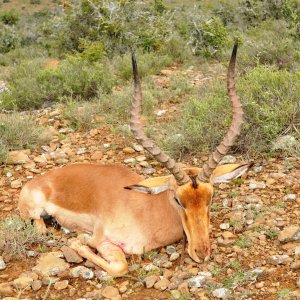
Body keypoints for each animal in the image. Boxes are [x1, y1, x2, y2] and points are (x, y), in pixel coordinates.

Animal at [17, 42, 250, 276]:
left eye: (211, 197)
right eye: (177, 199)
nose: (201, 252)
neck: (146, 210)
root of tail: (36, 181)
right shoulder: (102, 239)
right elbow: (119, 265)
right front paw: (78, 239)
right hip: (34, 212)